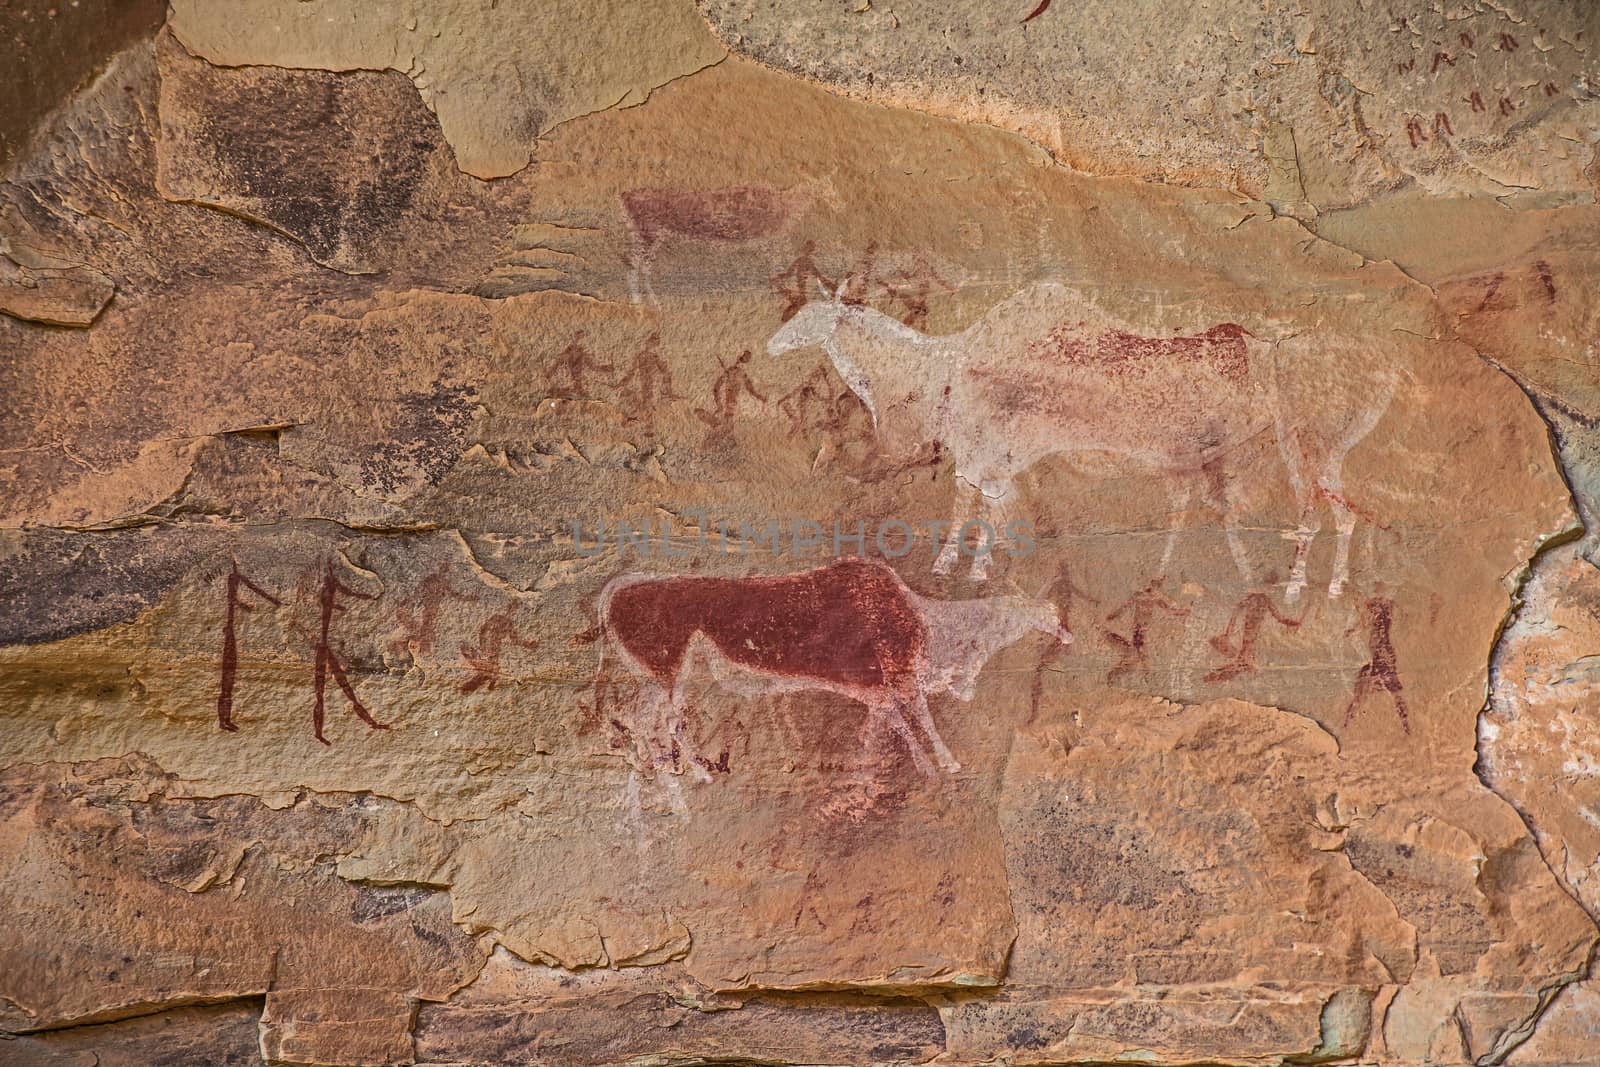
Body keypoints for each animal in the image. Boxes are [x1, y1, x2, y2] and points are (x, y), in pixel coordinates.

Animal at [588, 559, 1062, 777]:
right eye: (1048, 614)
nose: (1065, 634)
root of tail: (618, 589)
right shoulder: (900, 681)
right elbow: (920, 724)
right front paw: (945, 766)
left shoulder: (879, 693)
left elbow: (886, 732)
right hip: (668, 675)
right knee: (659, 720)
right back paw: (695, 773)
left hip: (660, 679)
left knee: (644, 720)